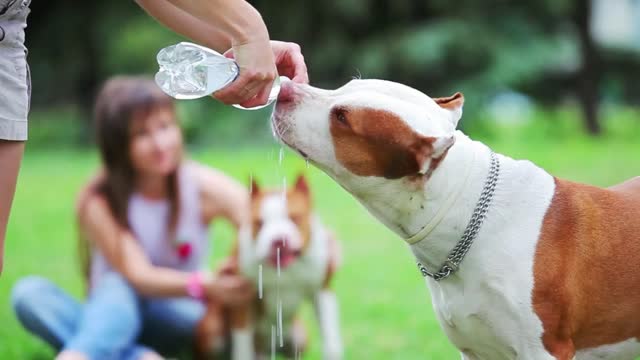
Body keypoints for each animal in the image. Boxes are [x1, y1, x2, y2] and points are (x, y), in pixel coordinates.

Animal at [198, 175, 342, 360]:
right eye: (260, 223)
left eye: (294, 218)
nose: (279, 240)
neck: (285, 269)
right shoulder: (242, 298)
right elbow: (243, 346)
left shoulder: (322, 291)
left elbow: (331, 340)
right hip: (212, 331)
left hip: (298, 336)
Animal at [272, 79, 640, 360]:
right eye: (344, 85)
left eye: (342, 117)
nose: (285, 88)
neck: (470, 216)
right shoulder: (475, 351)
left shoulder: (544, 350)